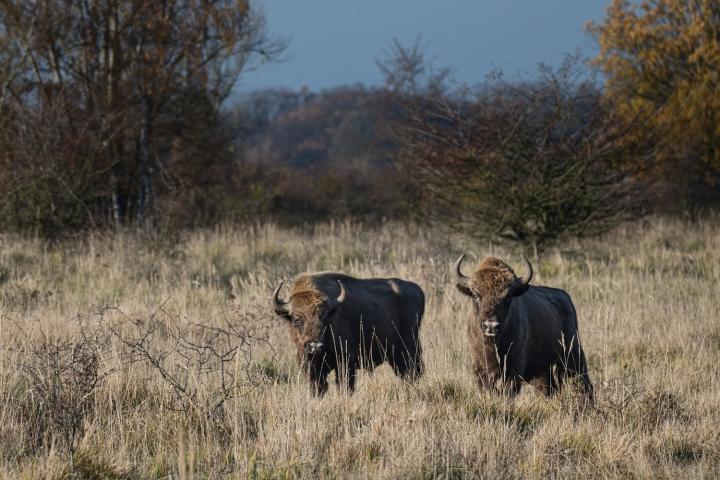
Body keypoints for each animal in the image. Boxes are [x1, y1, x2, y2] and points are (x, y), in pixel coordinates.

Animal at [273, 272, 425, 395]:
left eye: (325, 317)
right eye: (297, 319)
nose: (315, 346)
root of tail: (417, 290)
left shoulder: (346, 362)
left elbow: (345, 386)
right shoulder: (312, 368)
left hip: (407, 349)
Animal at [453, 254, 593, 399]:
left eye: (507, 296)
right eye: (476, 296)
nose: (490, 325)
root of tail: (566, 299)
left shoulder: (513, 372)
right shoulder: (480, 370)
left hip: (573, 357)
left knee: (585, 386)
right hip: (545, 370)